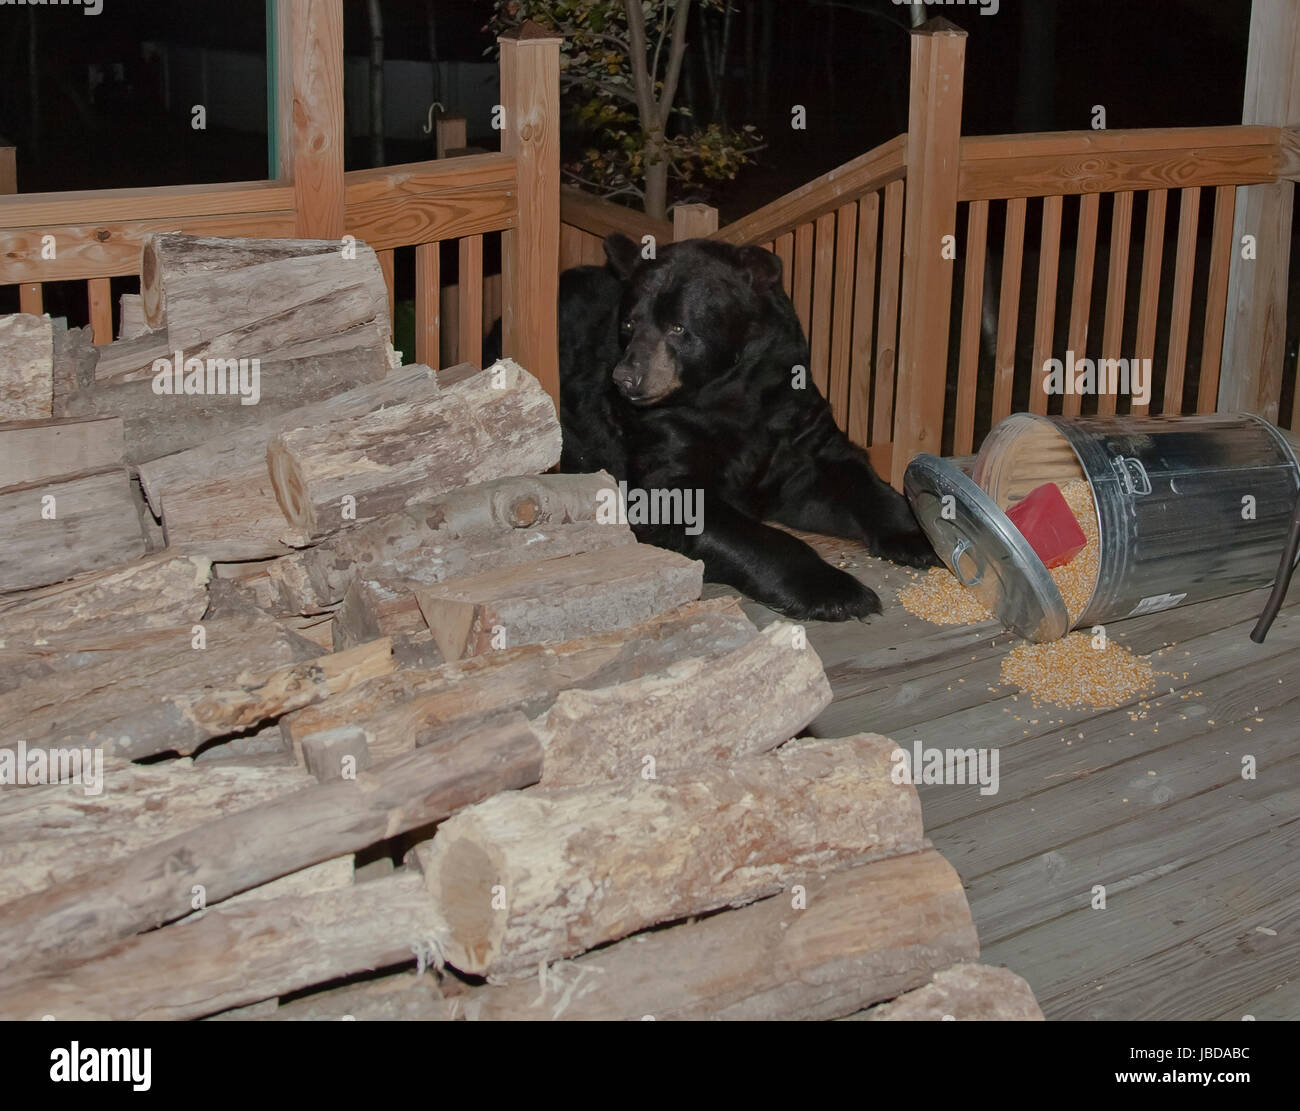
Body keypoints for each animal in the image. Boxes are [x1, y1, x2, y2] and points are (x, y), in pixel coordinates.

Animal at [559, 232, 935, 626]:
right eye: (629, 324)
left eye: (678, 326)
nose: (626, 378)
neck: (730, 395)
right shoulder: (667, 434)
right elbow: (686, 503)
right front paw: (837, 592)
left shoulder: (792, 419)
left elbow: (846, 474)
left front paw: (921, 534)